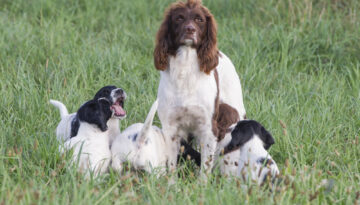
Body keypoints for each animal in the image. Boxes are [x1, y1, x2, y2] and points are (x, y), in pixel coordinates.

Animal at [153, 0, 246, 179]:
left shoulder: (209, 127)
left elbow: (206, 165)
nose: (190, 29)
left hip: (231, 112)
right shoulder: (170, 127)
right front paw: (172, 184)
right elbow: (172, 164)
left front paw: (202, 184)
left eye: (199, 19)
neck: (185, 67)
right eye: (179, 18)